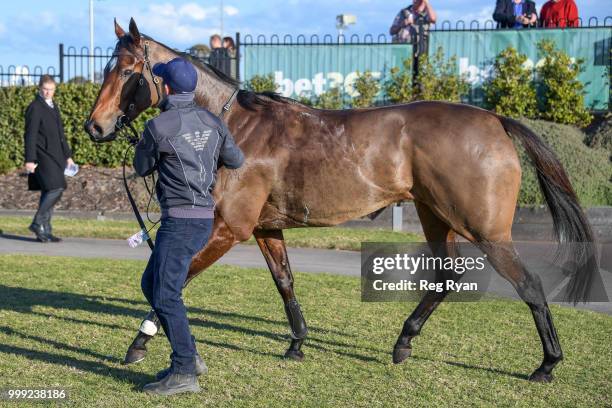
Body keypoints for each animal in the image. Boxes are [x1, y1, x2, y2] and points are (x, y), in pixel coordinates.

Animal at [86, 19, 596, 382]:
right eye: (107, 68)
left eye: (128, 71)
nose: (95, 126)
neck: (235, 127)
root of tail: (495, 120)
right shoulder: (265, 226)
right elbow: (285, 282)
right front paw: (297, 343)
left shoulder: (229, 227)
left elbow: (173, 281)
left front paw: (139, 343)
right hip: (436, 215)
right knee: (446, 279)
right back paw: (403, 342)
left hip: (485, 229)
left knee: (529, 284)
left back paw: (547, 364)